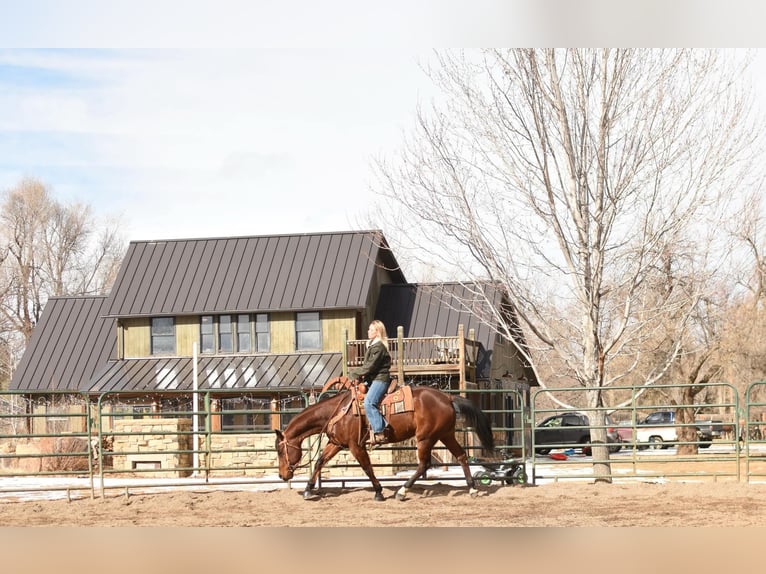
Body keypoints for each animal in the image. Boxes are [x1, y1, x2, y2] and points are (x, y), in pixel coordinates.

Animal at [276, 376, 498, 502]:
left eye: (279, 450)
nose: (282, 475)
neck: (337, 411)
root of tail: (448, 398)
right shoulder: (336, 443)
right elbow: (320, 462)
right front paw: (308, 490)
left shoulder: (355, 446)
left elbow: (367, 467)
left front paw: (379, 492)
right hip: (445, 435)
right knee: (461, 456)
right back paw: (472, 489)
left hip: (425, 438)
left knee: (423, 464)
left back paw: (402, 492)